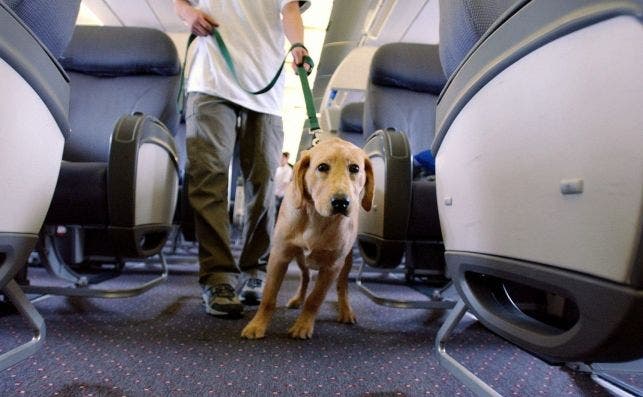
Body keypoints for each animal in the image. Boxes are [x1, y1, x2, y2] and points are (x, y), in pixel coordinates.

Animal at [242, 138, 374, 338]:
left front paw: (303, 325)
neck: (316, 217)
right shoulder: (279, 256)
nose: (341, 203)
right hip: (300, 259)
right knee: (305, 277)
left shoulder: (332, 266)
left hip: (346, 262)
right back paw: (298, 299)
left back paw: (345, 310)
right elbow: (269, 297)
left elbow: (315, 299)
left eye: (355, 168)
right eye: (322, 167)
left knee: (342, 287)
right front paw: (257, 325)